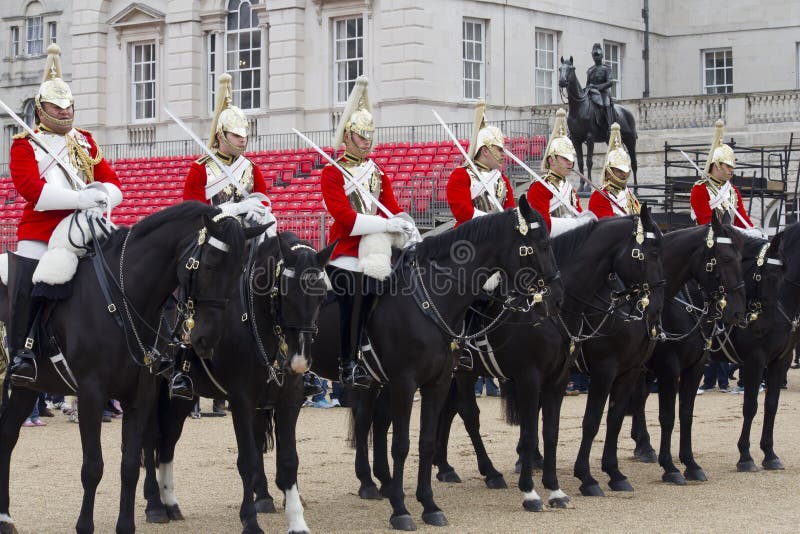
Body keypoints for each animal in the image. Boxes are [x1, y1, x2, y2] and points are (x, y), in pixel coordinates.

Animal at [0, 203, 262, 532]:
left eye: (240, 270)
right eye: (211, 264)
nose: (206, 339)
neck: (124, 300)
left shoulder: (140, 394)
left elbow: (129, 466)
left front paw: (126, 525)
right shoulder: (91, 393)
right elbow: (93, 467)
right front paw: (84, 525)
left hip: (28, 386)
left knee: (8, 436)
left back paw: (5, 518)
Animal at [141, 233, 334, 534]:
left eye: (322, 295)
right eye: (286, 292)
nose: (300, 361)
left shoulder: (288, 401)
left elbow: (289, 460)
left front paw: (297, 521)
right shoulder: (242, 401)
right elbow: (248, 460)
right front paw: (251, 520)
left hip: (182, 396)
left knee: (168, 442)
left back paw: (170, 503)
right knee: (151, 441)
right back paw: (154, 505)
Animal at [432, 208, 664, 510]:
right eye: (652, 252)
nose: (657, 307)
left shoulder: (603, 373)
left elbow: (569, 427)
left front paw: (600, 477)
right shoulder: (576, 373)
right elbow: (572, 424)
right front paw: (576, 480)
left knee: (450, 410)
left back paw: (446, 467)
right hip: (464, 372)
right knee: (469, 415)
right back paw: (490, 472)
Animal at [560, 56, 640, 188]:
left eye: (571, 68)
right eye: (560, 68)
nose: (562, 81)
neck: (579, 108)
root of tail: (627, 111)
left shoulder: (590, 138)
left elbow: (589, 162)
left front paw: (588, 186)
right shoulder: (576, 139)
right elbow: (580, 162)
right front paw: (581, 186)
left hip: (631, 140)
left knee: (634, 163)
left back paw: (636, 188)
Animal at [572, 219, 748, 498]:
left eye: (742, 258)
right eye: (726, 258)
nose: (738, 313)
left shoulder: (693, 368)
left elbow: (685, 414)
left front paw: (690, 464)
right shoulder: (665, 368)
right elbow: (667, 416)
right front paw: (671, 468)